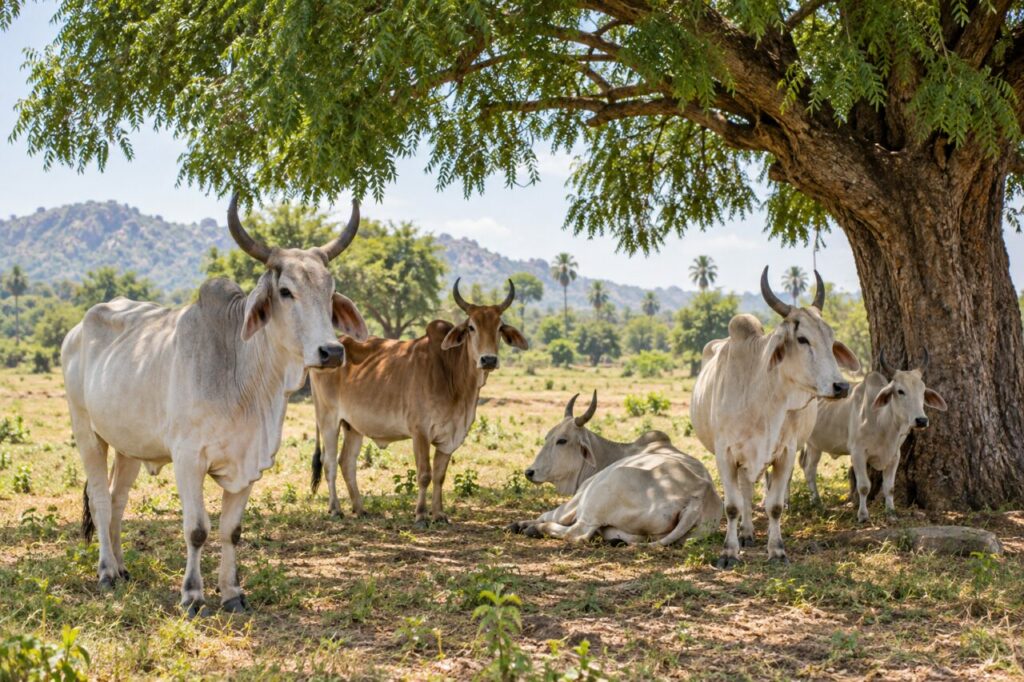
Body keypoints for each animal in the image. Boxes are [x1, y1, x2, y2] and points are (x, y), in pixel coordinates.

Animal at [61, 194, 367, 615]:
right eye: (285, 291)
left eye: (330, 291)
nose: (332, 351)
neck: (243, 378)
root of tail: (76, 330)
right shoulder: (188, 459)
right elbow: (197, 529)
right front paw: (192, 595)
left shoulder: (249, 463)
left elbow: (231, 530)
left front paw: (232, 593)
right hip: (87, 432)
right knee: (100, 500)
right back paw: (106, 571)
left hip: (128, 447)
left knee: (118, 500)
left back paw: (122, 569)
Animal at [310, 279, 527, 526]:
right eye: (471, 327)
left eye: (500, 327)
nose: (488, 359)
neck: (452, 375)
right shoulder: (420, 431)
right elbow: (424, 474)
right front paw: (421, 514)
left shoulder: (449, 437)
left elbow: (440, 476)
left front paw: (439, 513)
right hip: (328, 420)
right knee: (329, 463)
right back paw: (335, 509)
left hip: (353, 426)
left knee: (347, 463)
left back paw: (360, 508)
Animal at [507, 392, 722, 546]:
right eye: (547, 437)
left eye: (562, 440)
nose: (529, 472)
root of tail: (698, 494)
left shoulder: (578, 499)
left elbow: (549, 514)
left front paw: (522, 524)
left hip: (596, 496)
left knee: (577, 533)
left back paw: (536, 530)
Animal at [690, 267, 860, 568]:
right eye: (802, 339)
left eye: (831, 340)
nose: (841, 386)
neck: (762, 399)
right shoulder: (725, 453)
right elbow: (732, 506)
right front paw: (729, 552)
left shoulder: (785, 452)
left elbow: (775, 506)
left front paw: (777, 550)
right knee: (745, 494)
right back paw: (746, 532)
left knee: (752, 490)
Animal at [800, 351, 947, 521]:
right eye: (900, 391)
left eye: (923, 392)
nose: (921, 420)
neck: (882, 423)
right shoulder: (857, 453)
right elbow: (864, 486)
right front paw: (863, 515)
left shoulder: (894, 456)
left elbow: (889, 487)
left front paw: (891, 513)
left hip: (814, 445)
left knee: (808, 469)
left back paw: (816, 503)